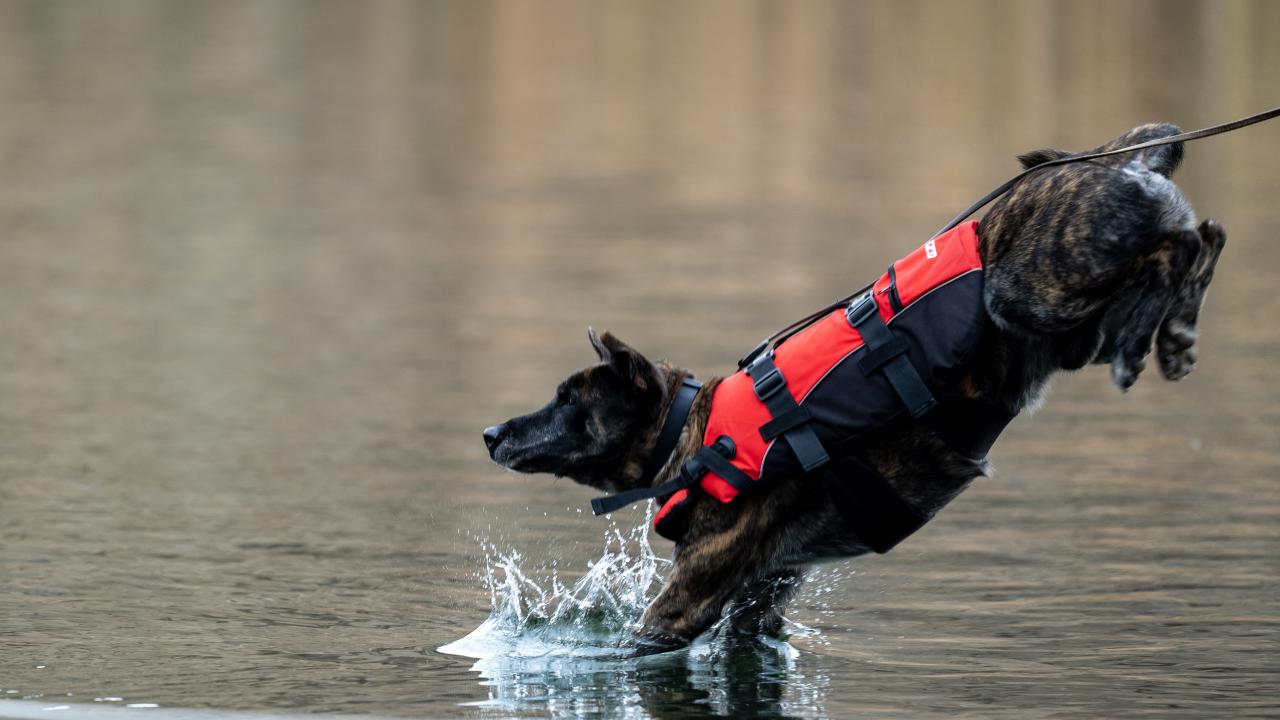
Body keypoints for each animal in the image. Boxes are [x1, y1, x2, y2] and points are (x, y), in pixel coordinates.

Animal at [483, 121, 1223, 650]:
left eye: (568, 399)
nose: (491, 432)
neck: (688, 434)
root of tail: (1104, 158)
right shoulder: (761, 599)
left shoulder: (684, 606)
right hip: (1071, 330)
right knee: (1203, 236)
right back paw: (1168, 333)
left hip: (1030, 292)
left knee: (1184, 245)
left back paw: (1159, 341)